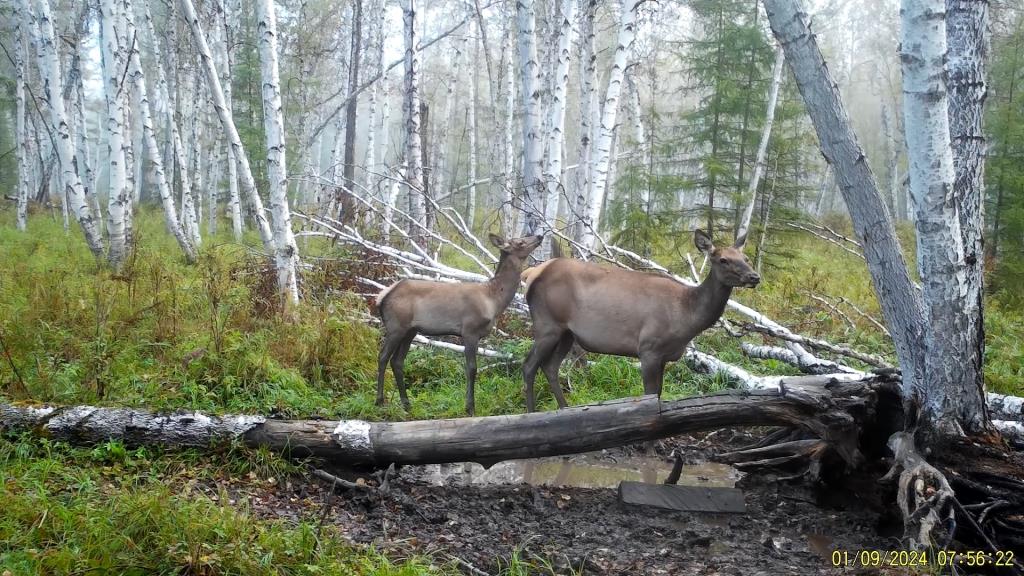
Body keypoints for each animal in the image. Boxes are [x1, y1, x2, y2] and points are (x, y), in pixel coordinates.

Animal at [374, 230, 544, 414]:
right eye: (520, 242)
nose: (540, 236)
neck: (493, 300)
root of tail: (382, 297)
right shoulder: (470, 330)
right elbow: (472, 368)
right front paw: (470, 407)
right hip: (396, 326)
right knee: (383, 356)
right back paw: (379, 401)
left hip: (410, 330)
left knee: (397, 361)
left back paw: (406, 404)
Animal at [520, 226, 761, 409]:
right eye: (723, 260)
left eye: (746, 258)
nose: (754, 276)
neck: (688, 315)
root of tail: (531, 273)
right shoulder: (649, 349)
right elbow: (650, 395)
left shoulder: (664, 356)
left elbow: (659, 394)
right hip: (547, 324)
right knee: (529, 365)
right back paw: (532, 412)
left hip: (567, 332)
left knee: (550, 366)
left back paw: (564, 409)